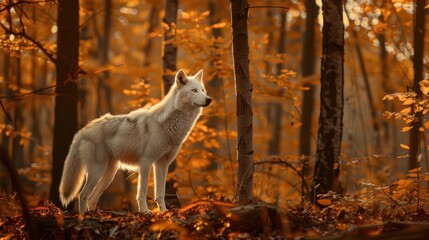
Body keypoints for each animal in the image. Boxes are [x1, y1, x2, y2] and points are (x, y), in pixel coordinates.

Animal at [57, 69, 211, 212]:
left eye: (203, 90)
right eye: (194, 90)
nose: (209, 99)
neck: (169, 125)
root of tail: (82, 131)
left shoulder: (162, 164)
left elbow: (160, 194)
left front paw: (164, 213)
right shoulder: (146, 162)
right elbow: (142, 192)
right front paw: (144, 212)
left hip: (109, 174)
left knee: (92, 198)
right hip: (97, 171)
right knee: (82, 195)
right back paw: (84, 216)